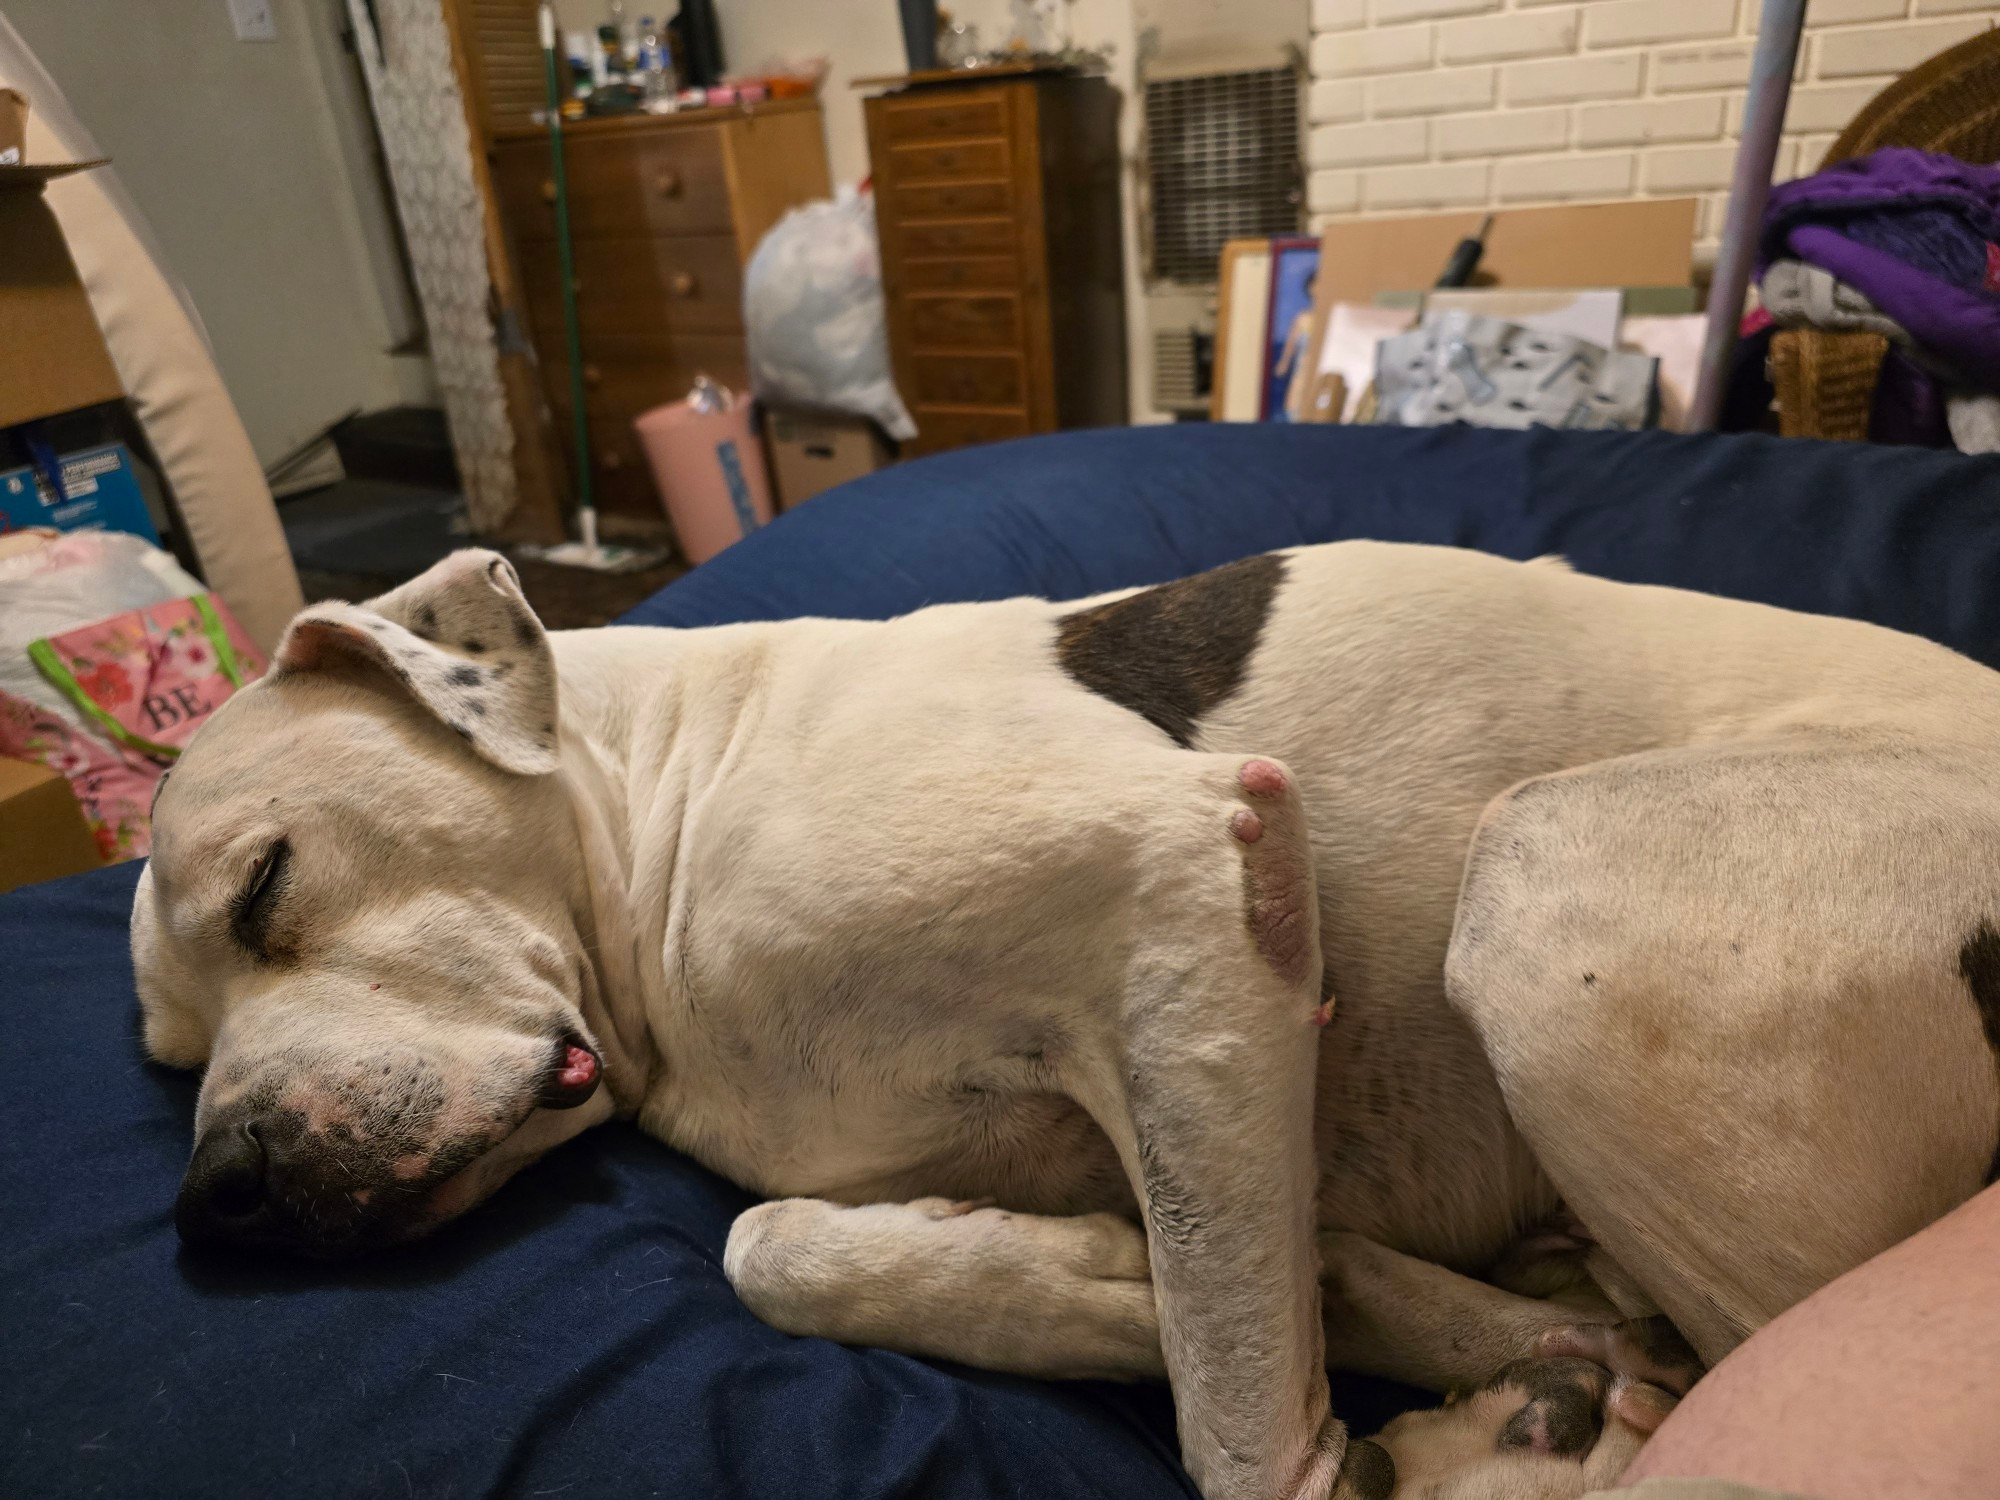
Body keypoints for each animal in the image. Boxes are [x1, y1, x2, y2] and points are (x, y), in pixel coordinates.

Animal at [133, 548, 2000, 1500]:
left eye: (270, 883)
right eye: (170, 1059)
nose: (223, 1200)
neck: (661, 795)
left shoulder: (1186, 892)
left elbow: (1242, 1437)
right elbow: (772, 1248)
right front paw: (1106, 1285)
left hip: (1549, 882)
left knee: (1750, 1356)